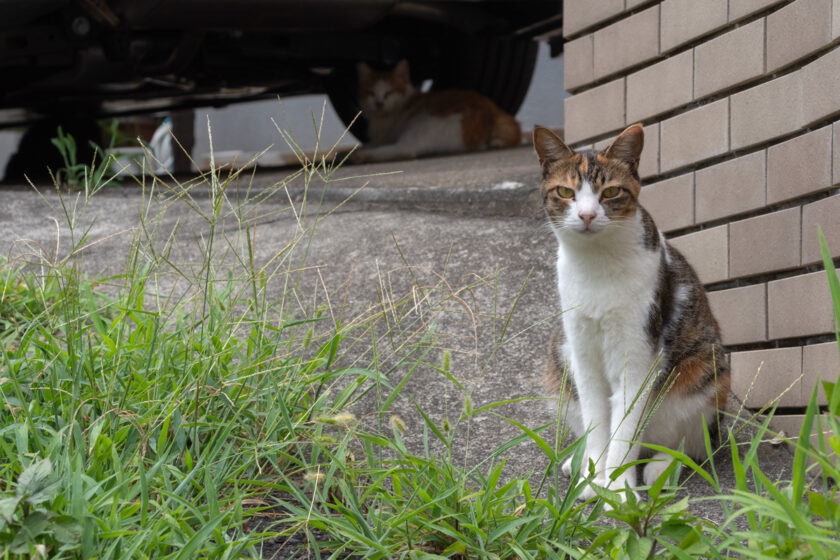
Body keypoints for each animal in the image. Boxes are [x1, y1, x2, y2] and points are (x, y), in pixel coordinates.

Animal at [352, 60, 520, 163]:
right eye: (371, 93)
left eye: (389, 93)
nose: (379, 103)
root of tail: (493, 115)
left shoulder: (385, 137)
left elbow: (371, 143)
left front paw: (361, 149)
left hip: (423, 124)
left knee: (406, 150)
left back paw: (362, 156)